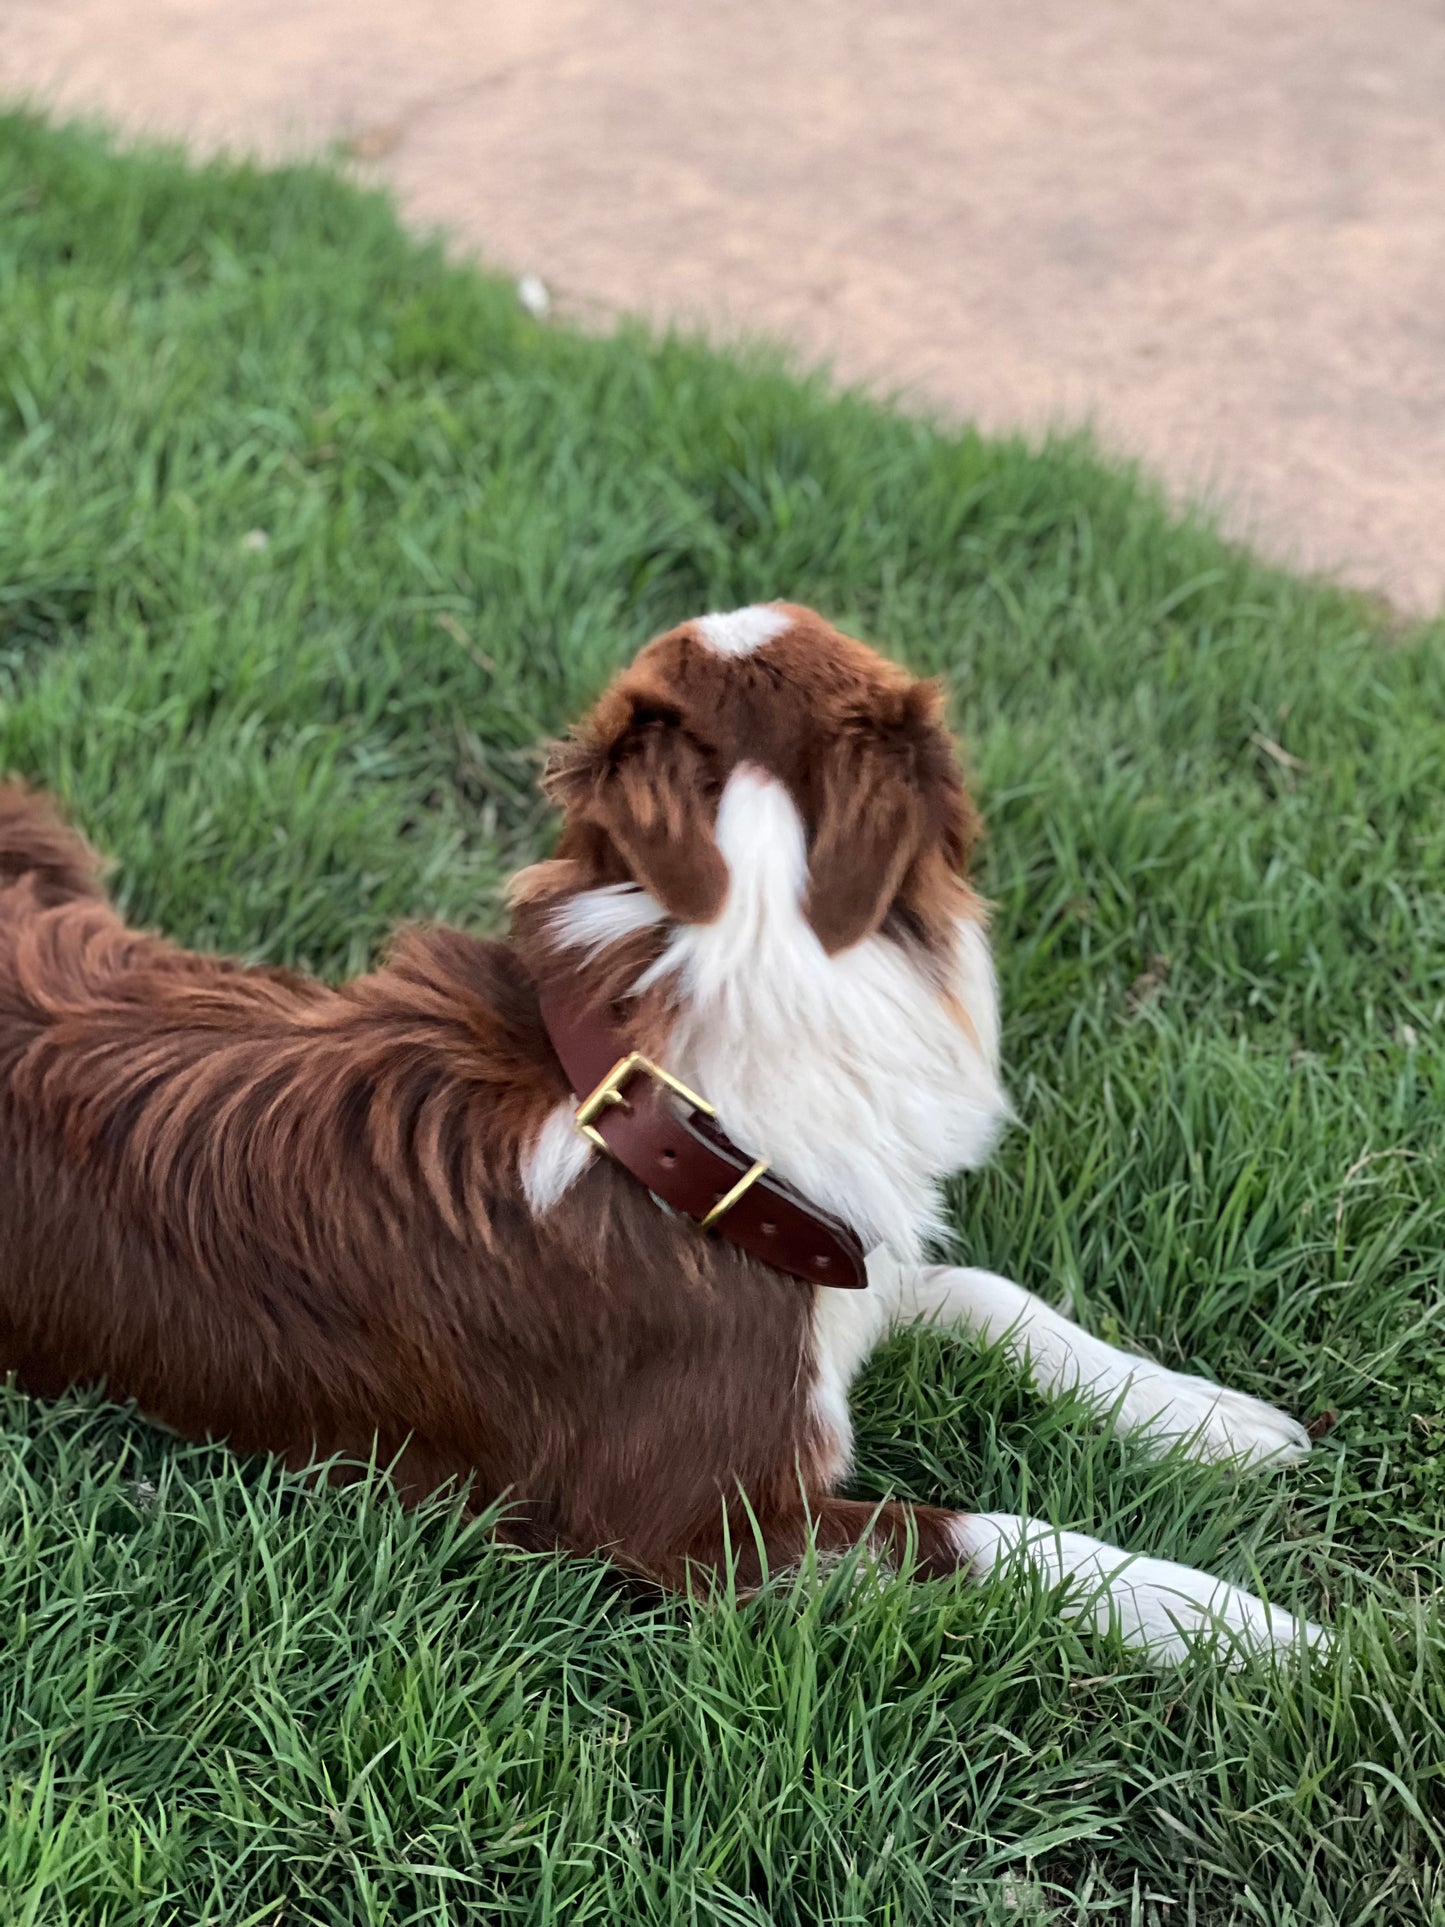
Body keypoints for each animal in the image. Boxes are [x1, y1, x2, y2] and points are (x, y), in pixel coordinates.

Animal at [0, 608, 1325, 1664]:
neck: (663, 1123)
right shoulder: (701, 1533)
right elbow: (996, 1532)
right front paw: (1244, 1626)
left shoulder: (831, 1261)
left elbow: (991, 1294)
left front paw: (1208, 1418)